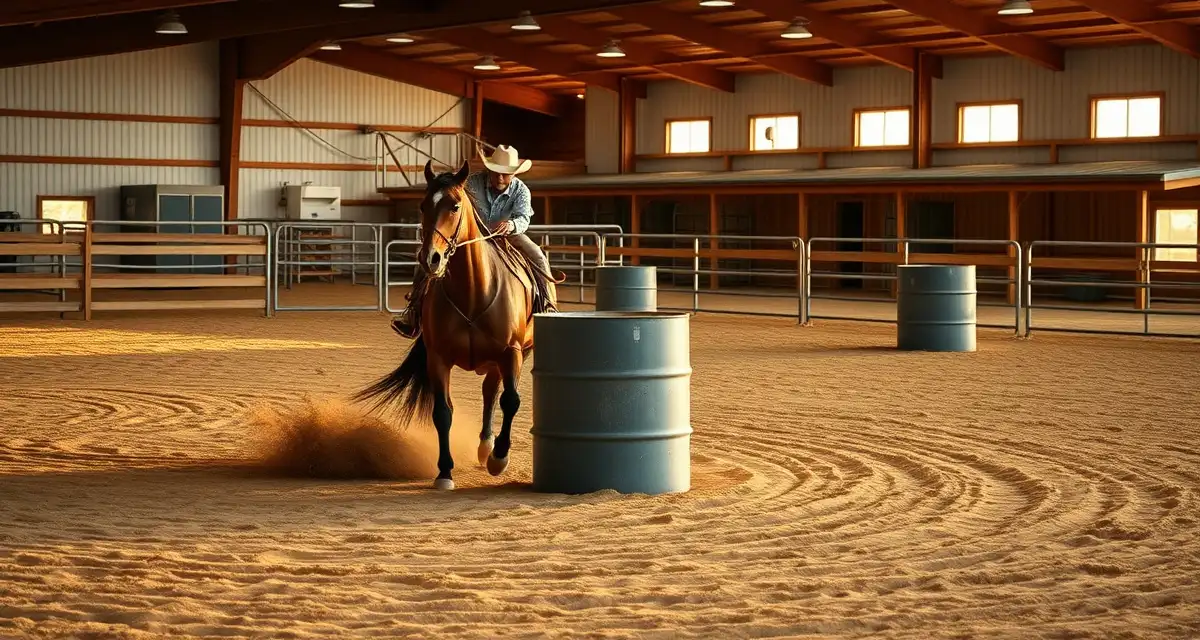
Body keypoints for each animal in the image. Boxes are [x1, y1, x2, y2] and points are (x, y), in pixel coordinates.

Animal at [353, 158, 560, 491]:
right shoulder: (438, 358)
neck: (474, 293)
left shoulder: (511, 353)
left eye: (455, 205)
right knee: (489, 391)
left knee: (493, 392)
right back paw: (483, 446)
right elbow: (442, 412)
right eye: (423, 205)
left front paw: (499, 459)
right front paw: (445, 472)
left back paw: (489, 449)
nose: (431, 259)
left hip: (514, 354)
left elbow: (511, 400)